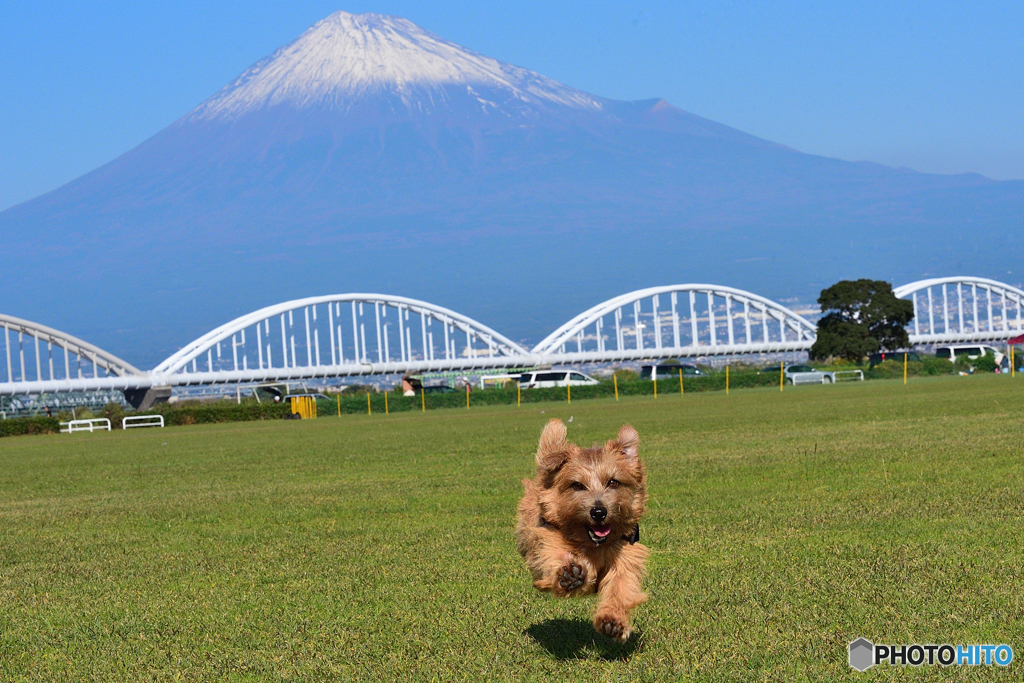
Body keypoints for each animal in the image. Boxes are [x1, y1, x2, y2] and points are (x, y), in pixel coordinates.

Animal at [516, 417, 651, 643]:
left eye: (613, 482)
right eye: (577, 485)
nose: (598, 512)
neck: (593, 545)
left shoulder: (625, 555)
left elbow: (621, 587)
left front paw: (612, 620)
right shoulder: (545, 539)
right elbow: (553, 556)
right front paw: (571, 575)